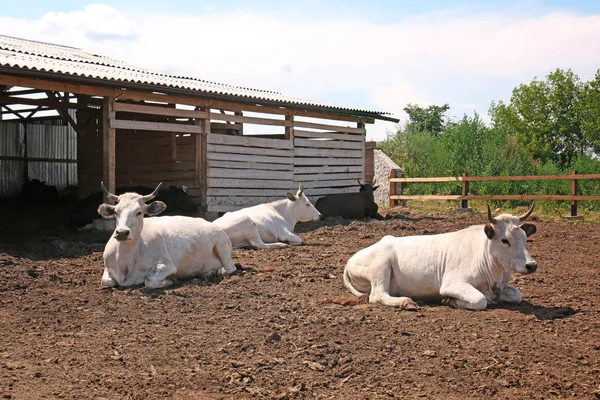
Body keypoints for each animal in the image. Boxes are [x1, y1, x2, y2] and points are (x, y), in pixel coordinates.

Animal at [98, 183, 237, 290]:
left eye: (139, 212)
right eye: (116, 212)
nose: (122, 232)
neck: (125, 261)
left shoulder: (166, 265)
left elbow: (150, 281)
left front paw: (171, 281)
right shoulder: (107, 268)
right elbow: (106, 281)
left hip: (223, 245)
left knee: (230, 268)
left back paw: (219, 271)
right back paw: (208, 273)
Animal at [342, 205, 540, 310]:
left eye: (525, 238)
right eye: (505, 240)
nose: (532, 265)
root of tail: (350, 260)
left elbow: (517, 295)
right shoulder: (453, 283)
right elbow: (480, 300)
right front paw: (450, 300)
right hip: (381, 266)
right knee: (377, 295)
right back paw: (406, 302)